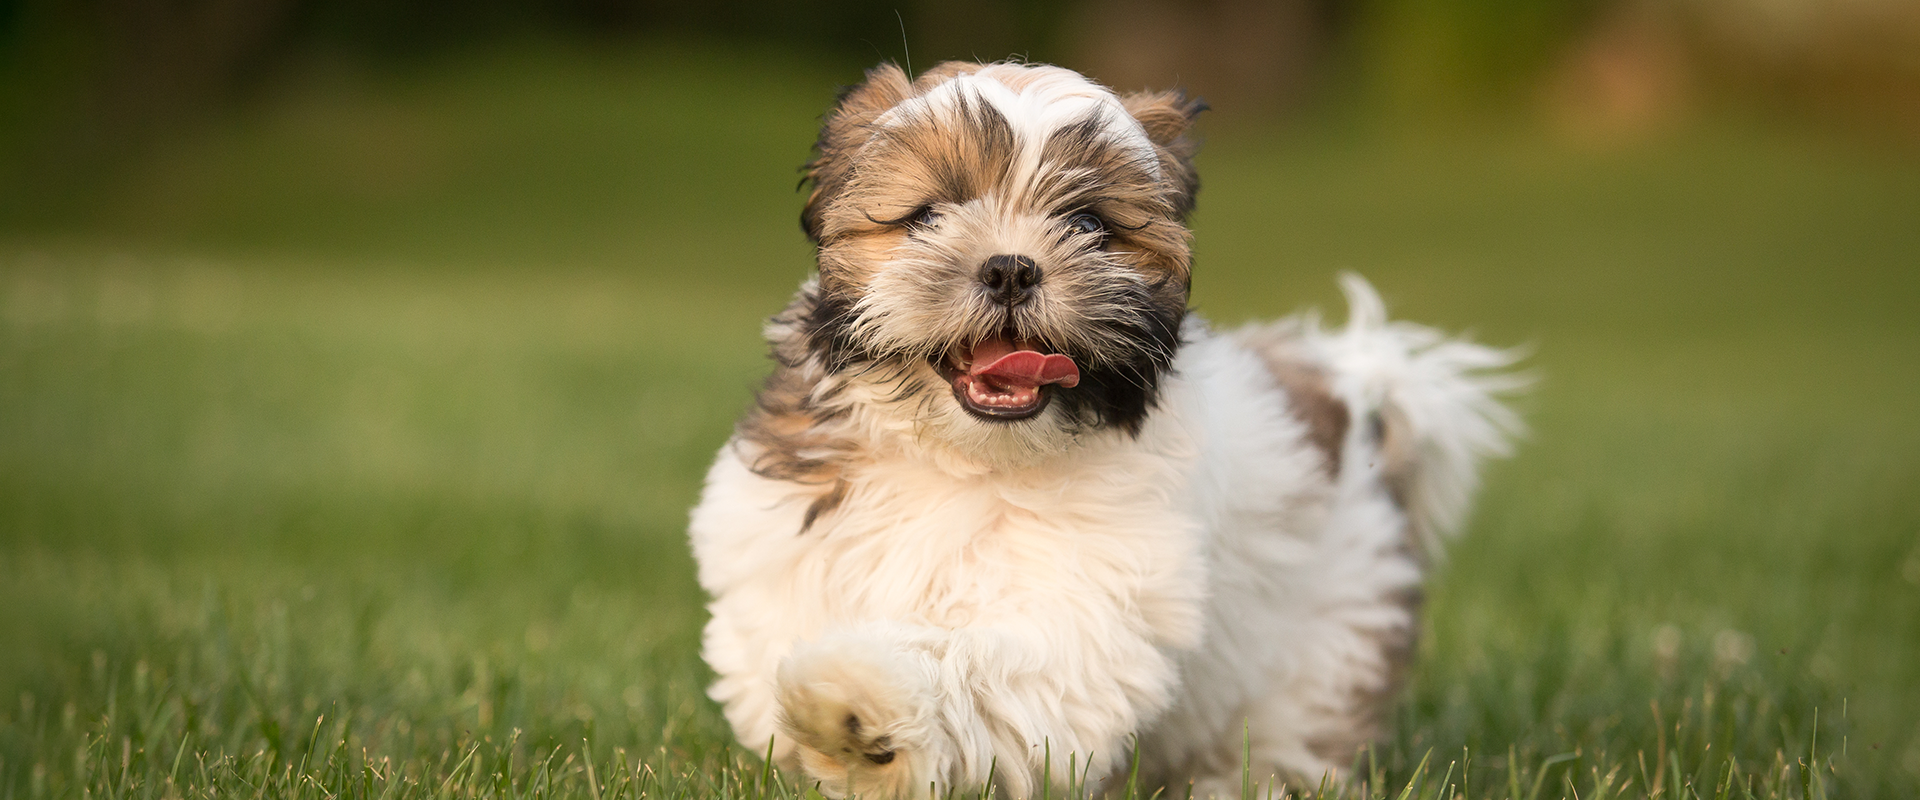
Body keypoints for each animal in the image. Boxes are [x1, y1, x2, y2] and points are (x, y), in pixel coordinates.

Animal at [687, 63, 1512, 798]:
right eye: (927, 216)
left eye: (1087, 225)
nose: (1011, 268)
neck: (966, 459)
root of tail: (1347, 395)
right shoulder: (779, 552)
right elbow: (767, 646)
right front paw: (826, 738)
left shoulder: (1081, 620)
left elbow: (980, 668)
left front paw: (854, 703)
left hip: (1326, 647)